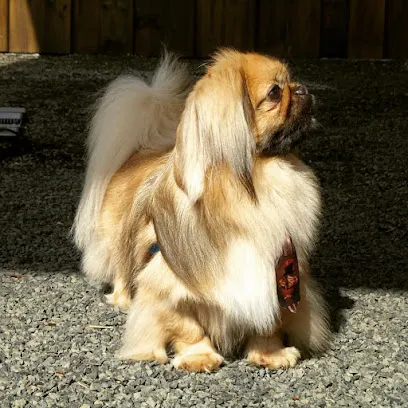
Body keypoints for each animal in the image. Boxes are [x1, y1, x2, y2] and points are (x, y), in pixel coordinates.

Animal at [73, 49, 332, 372]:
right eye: (274, 92)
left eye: (292, 81)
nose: (302, 89)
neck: (255, 185)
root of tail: (139, 152)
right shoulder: (169, 283)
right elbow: (188, 326)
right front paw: (199, 357)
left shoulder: (275, 271)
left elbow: (268, 322)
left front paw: (270, 355)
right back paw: (123, 299)